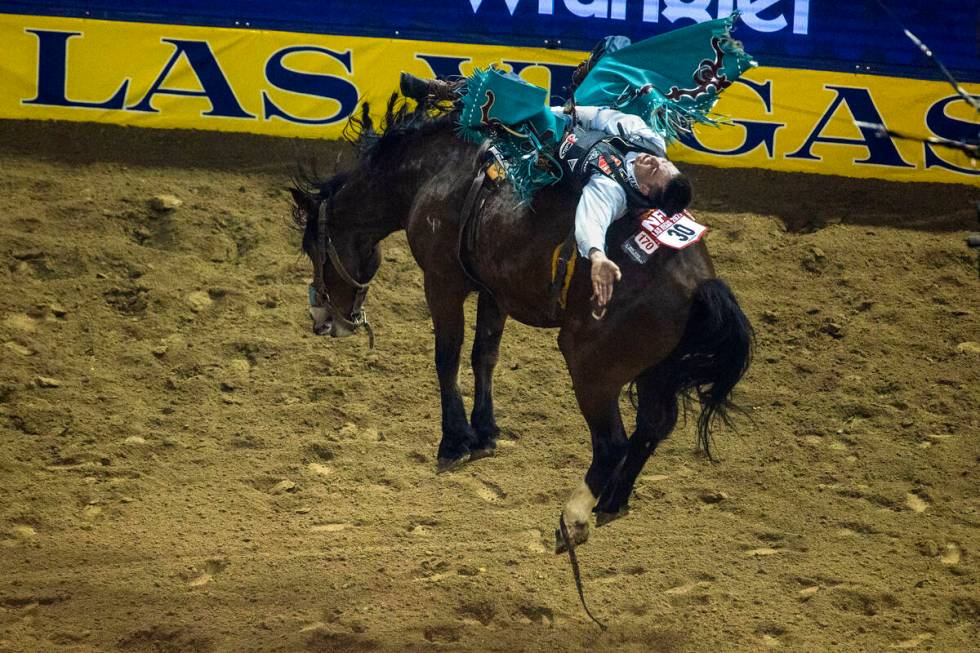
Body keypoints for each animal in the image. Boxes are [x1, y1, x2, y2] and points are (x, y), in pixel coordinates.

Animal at [290, 94, 752, 548]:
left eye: (313, 247)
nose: (322, 319)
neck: (436, 171)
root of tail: (701, 283)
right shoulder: (494, 291)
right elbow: (484, 356)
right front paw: (485, 432)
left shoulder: (442, 281)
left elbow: (447, 357)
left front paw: (454, 441)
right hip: (657, 369)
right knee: (653, 426)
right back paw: (612, 501)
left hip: (592, 367)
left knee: (612, 443)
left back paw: (574, 518)